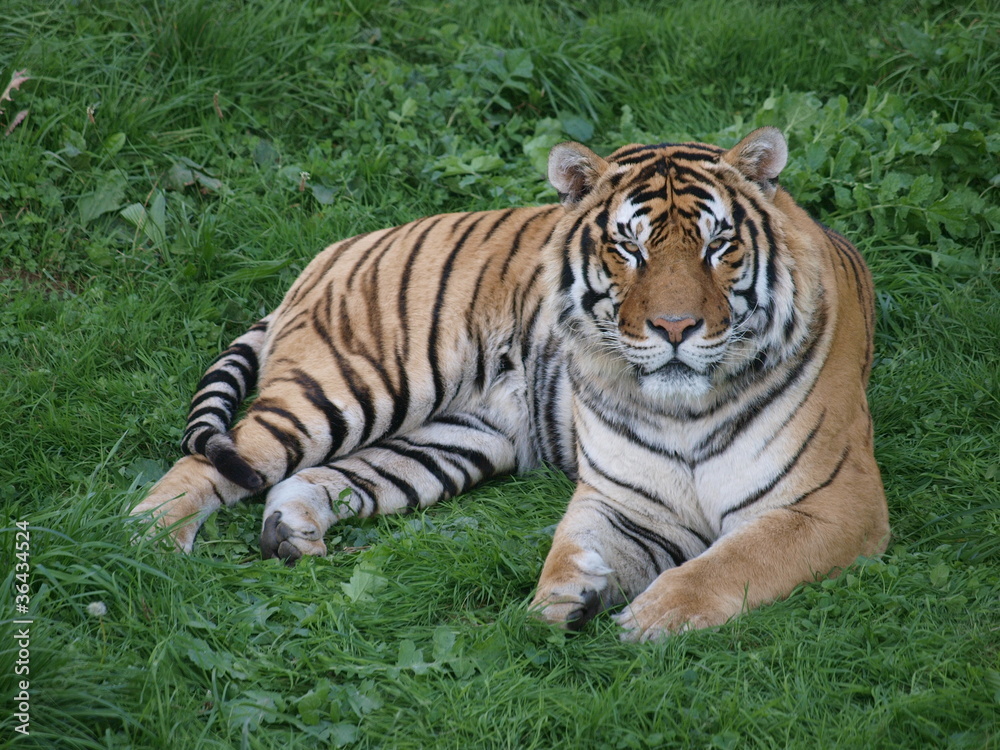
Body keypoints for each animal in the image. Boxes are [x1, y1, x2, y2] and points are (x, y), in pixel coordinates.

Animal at [131, 126, 890, 640]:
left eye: (717, 245)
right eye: (630, 248)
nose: (675, 328)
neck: (684, 410)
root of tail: (332, 250)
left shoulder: (833, 501)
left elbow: (736, 560)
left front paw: (647, 616)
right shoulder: (621, 499)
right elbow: (572, 547)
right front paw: (553, 607)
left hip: (452, 440)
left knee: (313, 478)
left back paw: (289, 534)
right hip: (355, 384)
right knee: (214, 460)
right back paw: (146, 541)